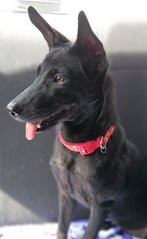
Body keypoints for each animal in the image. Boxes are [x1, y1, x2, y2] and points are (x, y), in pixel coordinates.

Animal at [7, 6, 147, 238]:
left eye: (59, 79)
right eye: (37, 73)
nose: (10, 109)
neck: (76, 148)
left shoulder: (100, 206)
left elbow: (88, 233)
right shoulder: (65, 195)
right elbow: (62, 228)